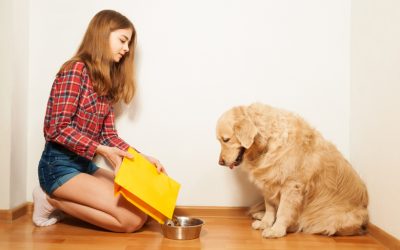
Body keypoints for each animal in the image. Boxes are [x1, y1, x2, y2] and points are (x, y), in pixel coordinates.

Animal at [216, 103, 368, 238]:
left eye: (226, 140)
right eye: (220, 140)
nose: (220, 162)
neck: (268, 143)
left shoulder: (292, 186)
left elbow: (283, 211)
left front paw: (276, 230)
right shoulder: (269, 182)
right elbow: (270, 208)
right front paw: (265, 223)